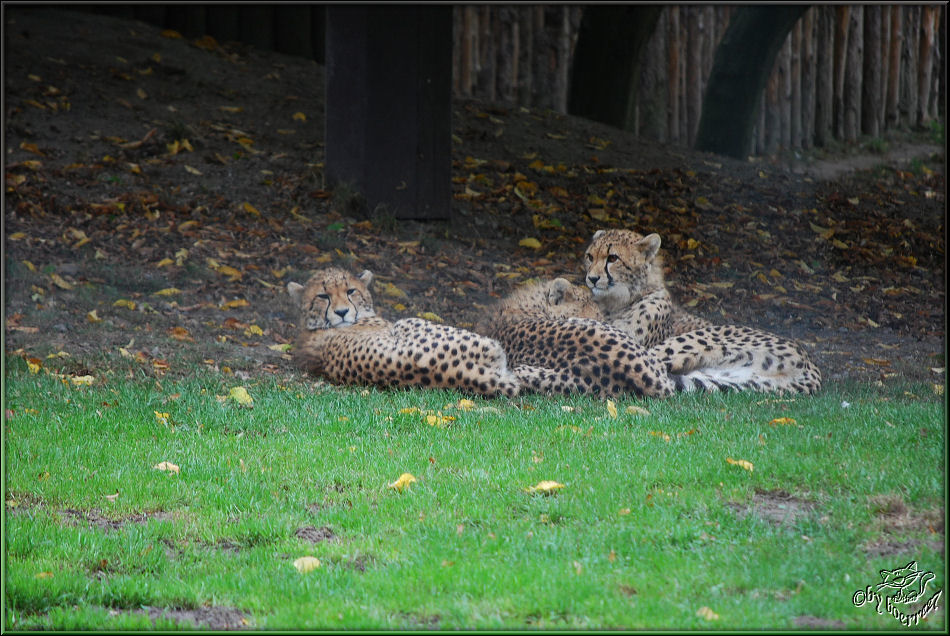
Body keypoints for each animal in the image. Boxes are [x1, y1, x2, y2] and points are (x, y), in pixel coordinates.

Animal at [584, 229, 820, 392]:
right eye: (590, 257)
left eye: (612, 258)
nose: (592, 278)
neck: (622, 300)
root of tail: (810, 365)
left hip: (699, 339)